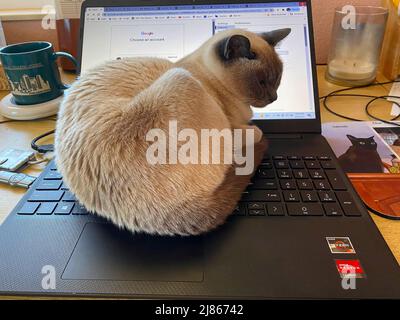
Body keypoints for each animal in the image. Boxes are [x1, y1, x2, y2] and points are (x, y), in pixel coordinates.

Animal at [54, 28, 290, 235]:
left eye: (278, 79)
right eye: (261, 82)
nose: (275, 98)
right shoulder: (234, 126)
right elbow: (255, 131)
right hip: (180, 78)